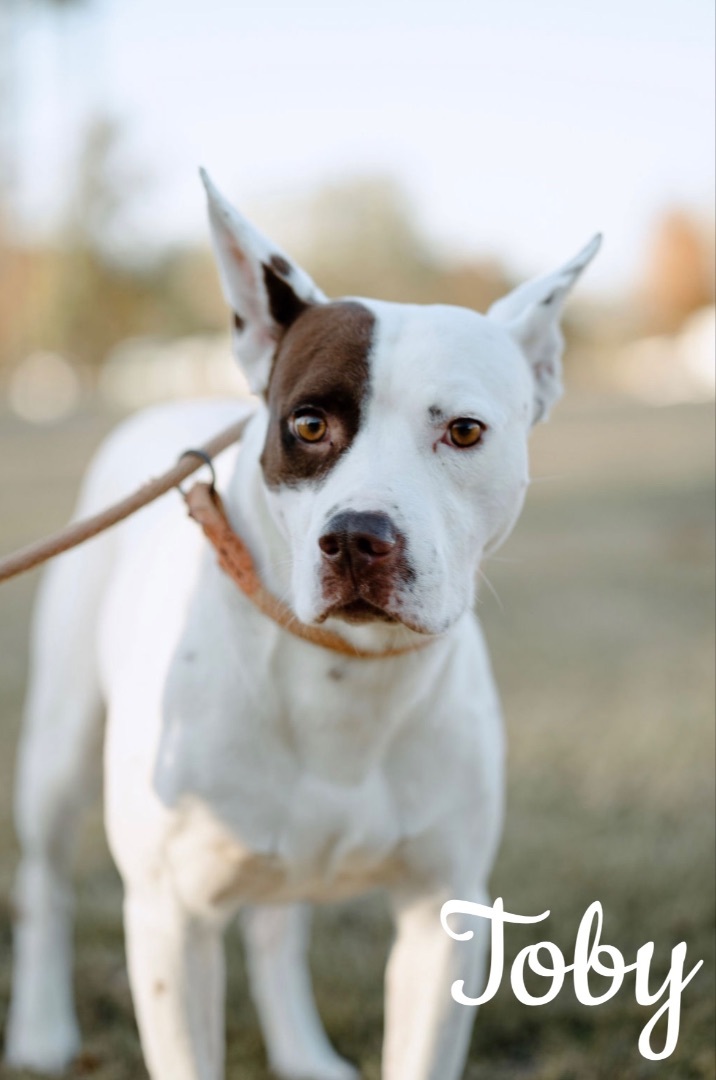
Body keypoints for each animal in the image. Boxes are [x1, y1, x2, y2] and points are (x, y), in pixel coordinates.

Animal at [5, 172, 600, 1075]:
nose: (357, 536)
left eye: (463, 430)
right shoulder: (170, 923)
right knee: (45, 881)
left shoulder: (443, 923)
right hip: (59, 746)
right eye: (309, 424)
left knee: (275, 928)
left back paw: (301, 1051)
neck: (346, 674)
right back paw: (41, 1029)